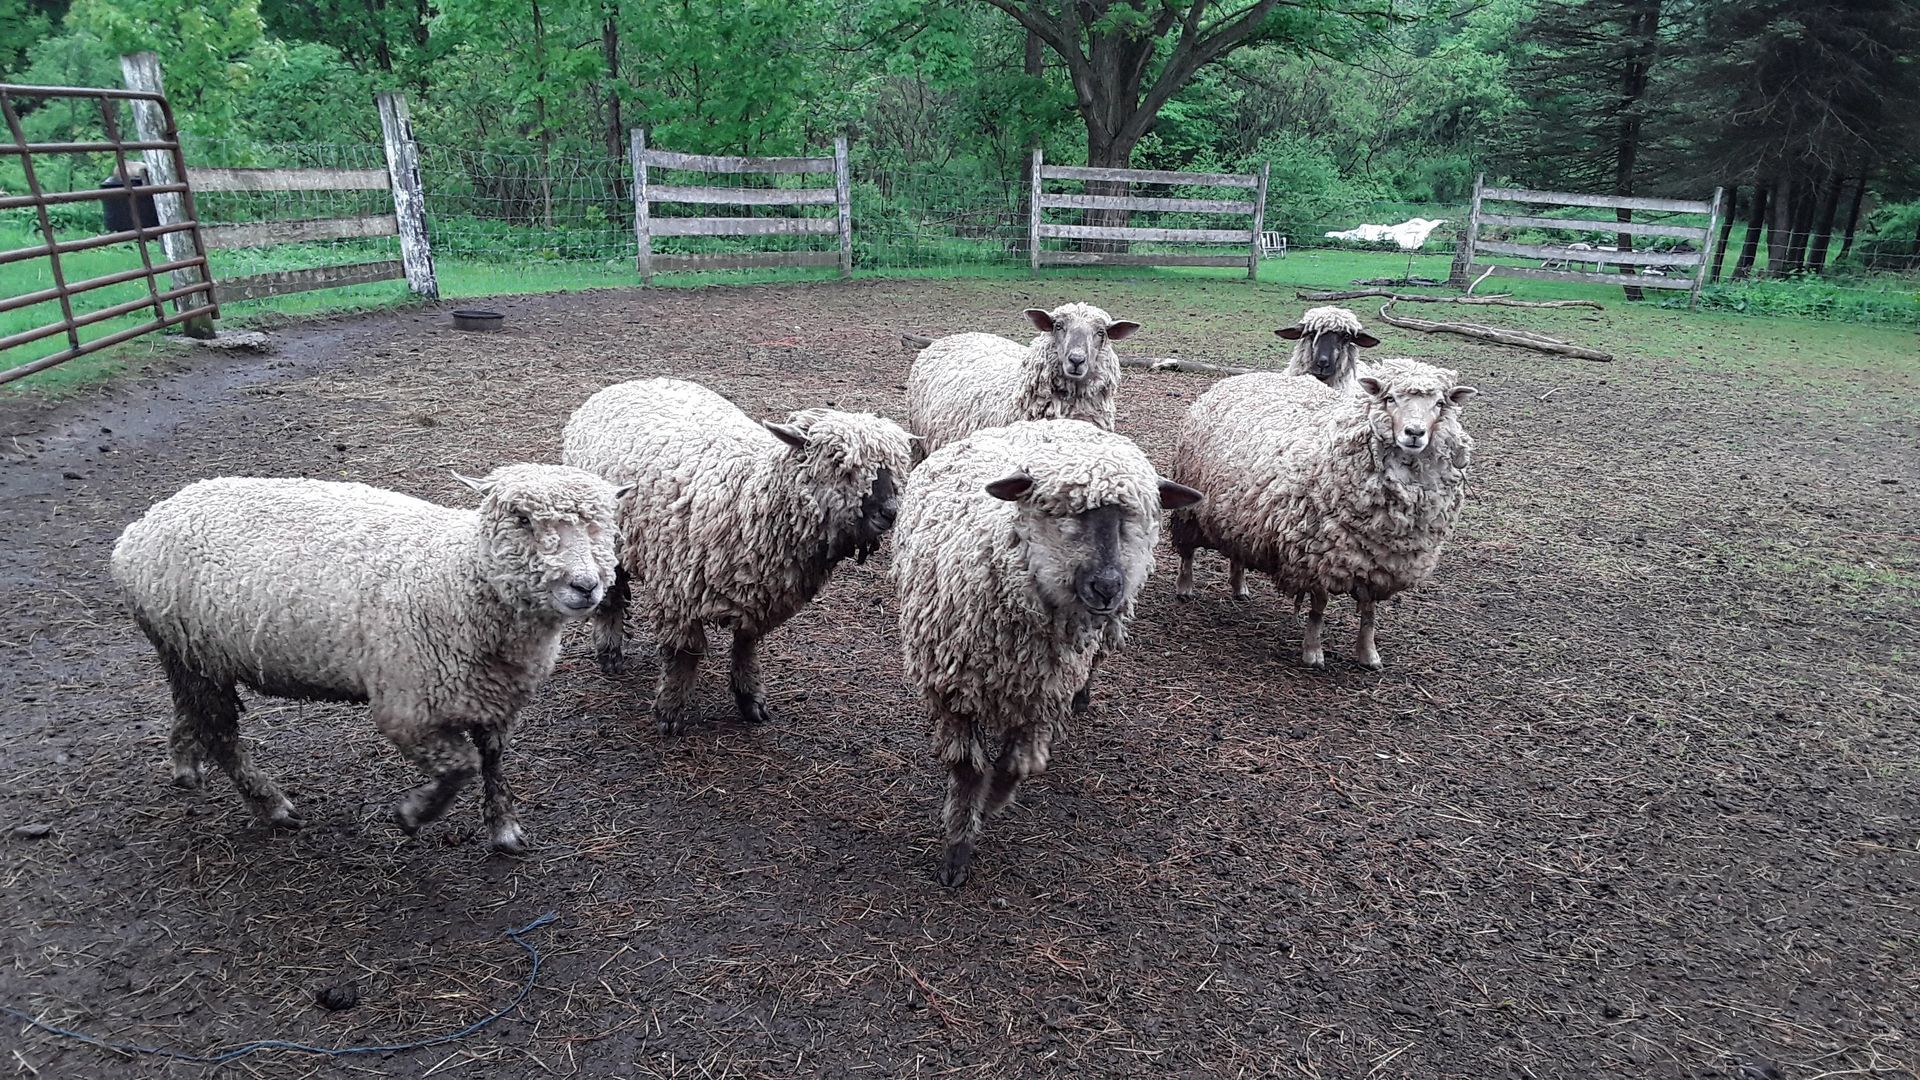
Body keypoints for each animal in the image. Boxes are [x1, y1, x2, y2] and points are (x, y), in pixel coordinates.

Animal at [109, 465, 628, 853]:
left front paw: (503, 829)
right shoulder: (406, 708)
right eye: (521, 519)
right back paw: (271, 806)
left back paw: (185, 765)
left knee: (190, 712)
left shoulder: (494, 699)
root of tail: (140, 527)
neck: (458, 577)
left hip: (184, 652)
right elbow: (461, 766)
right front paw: (413, 815)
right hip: (199, 655)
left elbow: (492, 764)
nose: (585, 586)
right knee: (221, 734)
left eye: (604, 523)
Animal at [563, 378, 912, 736]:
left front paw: (750, 696)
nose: (890, 512)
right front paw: (670, 709)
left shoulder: (762, 597)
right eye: (840, 465)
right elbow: (684, 654)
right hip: (605, 539)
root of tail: (634, 381)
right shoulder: (679, 594)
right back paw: (609, 649)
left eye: (896, 466)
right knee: (611, 594)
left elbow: (746, 643)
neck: (750, 499)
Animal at [891, 418, 1203, 887]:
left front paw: (992, 802)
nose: (1107, 588)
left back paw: (1083, 697)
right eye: (1062, 512)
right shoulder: (952, 690)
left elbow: (1015, 767)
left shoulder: (1042, 694)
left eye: (1134, 517)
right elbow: (968, 769)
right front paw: (958, 847)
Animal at [1169, 358, 1476, 669]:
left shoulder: (1378, 563)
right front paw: (1313, 651)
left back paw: (1239, 586)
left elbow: (1369, 612)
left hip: (1240, 508)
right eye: (1389, 398)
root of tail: (1241, 378)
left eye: (1440, 403)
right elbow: (1319, 606)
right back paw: (1185, 587)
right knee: (1187, 551)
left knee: (1238, 550)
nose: (1414, 433)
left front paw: (1368, 654)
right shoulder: (1315, 553)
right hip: (1191, 509)